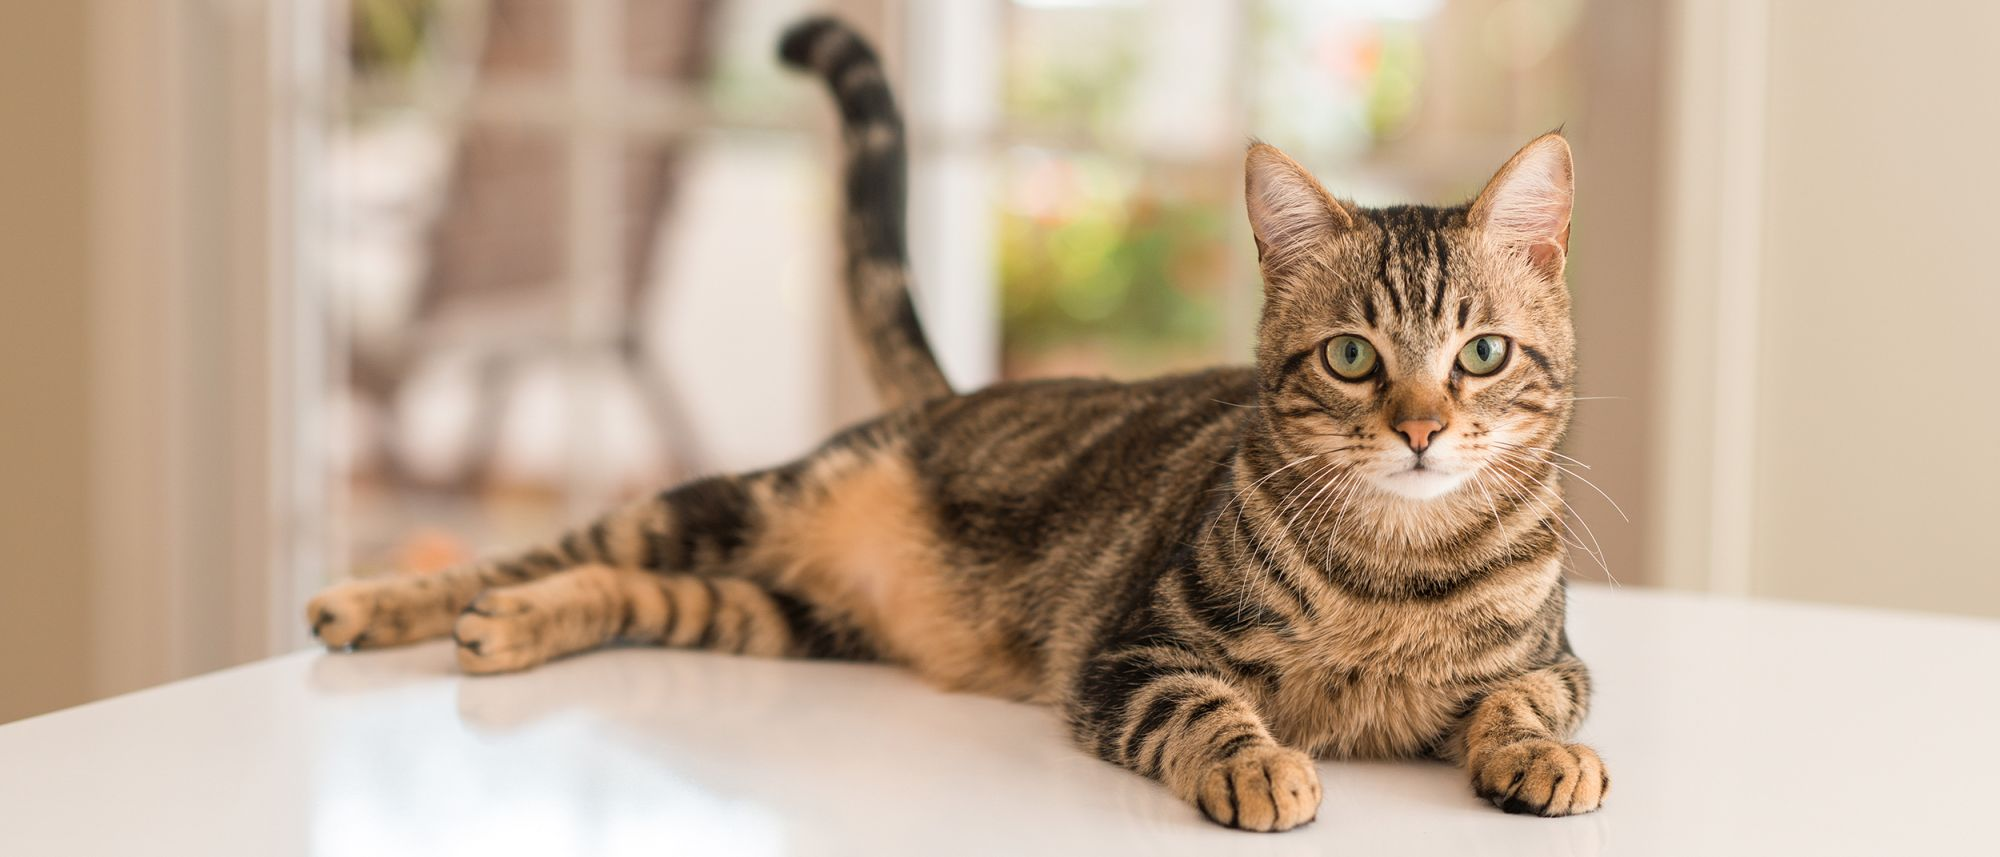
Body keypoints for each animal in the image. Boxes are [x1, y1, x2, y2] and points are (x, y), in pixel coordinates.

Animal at [308, 15, 1608, 828]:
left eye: (1479, 354)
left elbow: (1522, 698)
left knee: (633, 592)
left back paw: (513, 626)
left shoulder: (1555, 658)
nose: (1420, 430)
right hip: (741, 500)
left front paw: (1539, 754)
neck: (1396, 570)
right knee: (548, 549)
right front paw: (1258, 766)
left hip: (783, 612)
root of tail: (944, 394)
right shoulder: (1131, 653)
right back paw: (386, 602)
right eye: (1349, 357)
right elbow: (1210, 707)